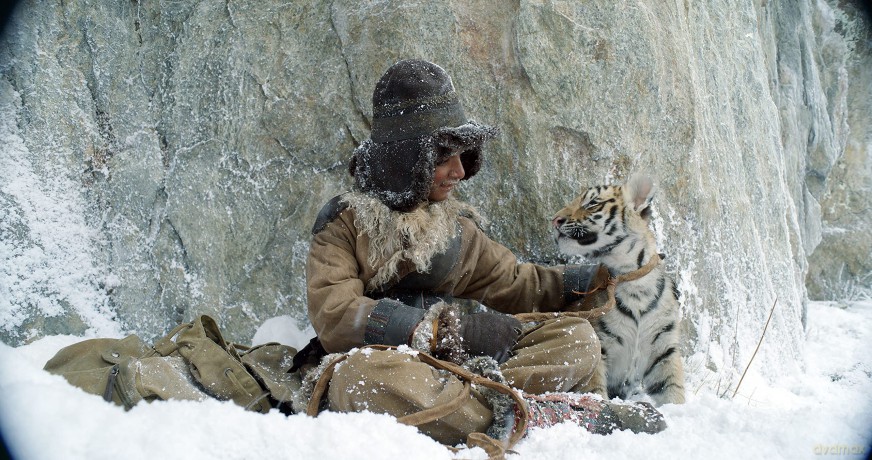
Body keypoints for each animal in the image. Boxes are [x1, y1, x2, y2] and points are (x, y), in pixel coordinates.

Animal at [551, 174, 685, 405]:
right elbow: (595, 386)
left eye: (591, 203)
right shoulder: (599, 342)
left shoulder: (664, 348)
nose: (554, 219)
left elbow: (672, 387)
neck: (633, 281)